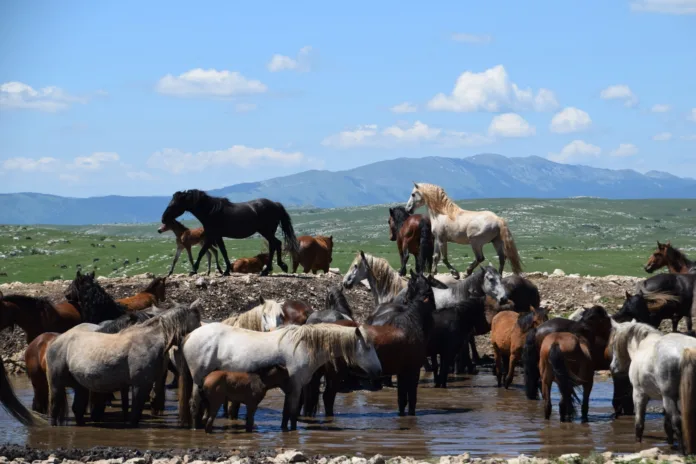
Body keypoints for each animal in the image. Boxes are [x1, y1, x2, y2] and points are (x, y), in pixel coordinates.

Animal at [46, 304, 200, 428]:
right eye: (198, 323)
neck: (150, 340)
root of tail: (56, 341)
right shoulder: (140, 385)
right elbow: (135, 412)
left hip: (80, 386)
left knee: (77, 409)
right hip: (56, 385)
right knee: (54, 408)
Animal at [162, 188, 300, 276]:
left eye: (174, 204)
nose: (163, 218)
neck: (211, 212)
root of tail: (275, 204)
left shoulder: (212, 235)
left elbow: (202, 252)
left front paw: (193, 270)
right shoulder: (217, 236)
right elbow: (223, 251)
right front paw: (227, 270)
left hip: (266, 231)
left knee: (275, 244)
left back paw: (270, 270)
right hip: (268, 232)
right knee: (275, 244)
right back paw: (274, 268)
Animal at [177, 320, 384, 430]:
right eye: (368, 347)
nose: (379, 371)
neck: (303, 345)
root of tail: (190, 335)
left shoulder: (292, 388)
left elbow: (287, 413)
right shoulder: (296, 387)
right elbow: (292, 413)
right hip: (198, 379)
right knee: (194, 405)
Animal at [608, 320, 696, 454]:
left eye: (613, 344)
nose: (612, 367)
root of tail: (686, 349)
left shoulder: (639, 395)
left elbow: (639, 425)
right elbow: (667, 426)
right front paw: (670, 445)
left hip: (669, 397)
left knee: (677, 422)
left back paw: (683, 453)